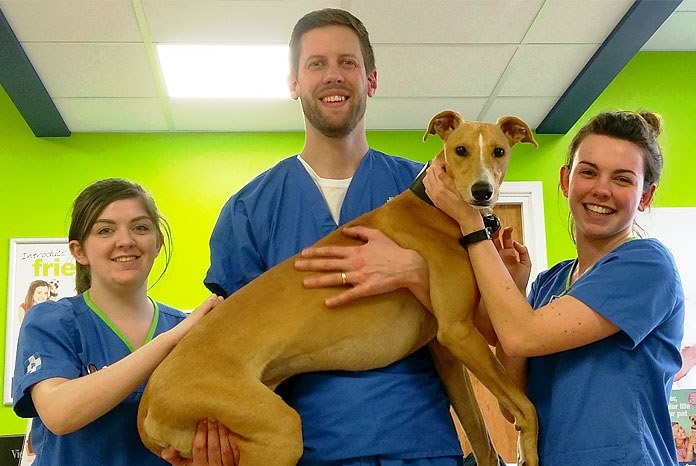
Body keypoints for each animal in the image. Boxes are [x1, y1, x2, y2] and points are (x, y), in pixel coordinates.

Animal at [136, 111, 540, 464]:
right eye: (460, 150)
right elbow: (527, 407)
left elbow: (481, 434)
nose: (482, 192)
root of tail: (147, 403)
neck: (434, 208)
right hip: (278, 433)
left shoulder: (448, 348)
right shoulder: (458, 331)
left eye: (499, 151)